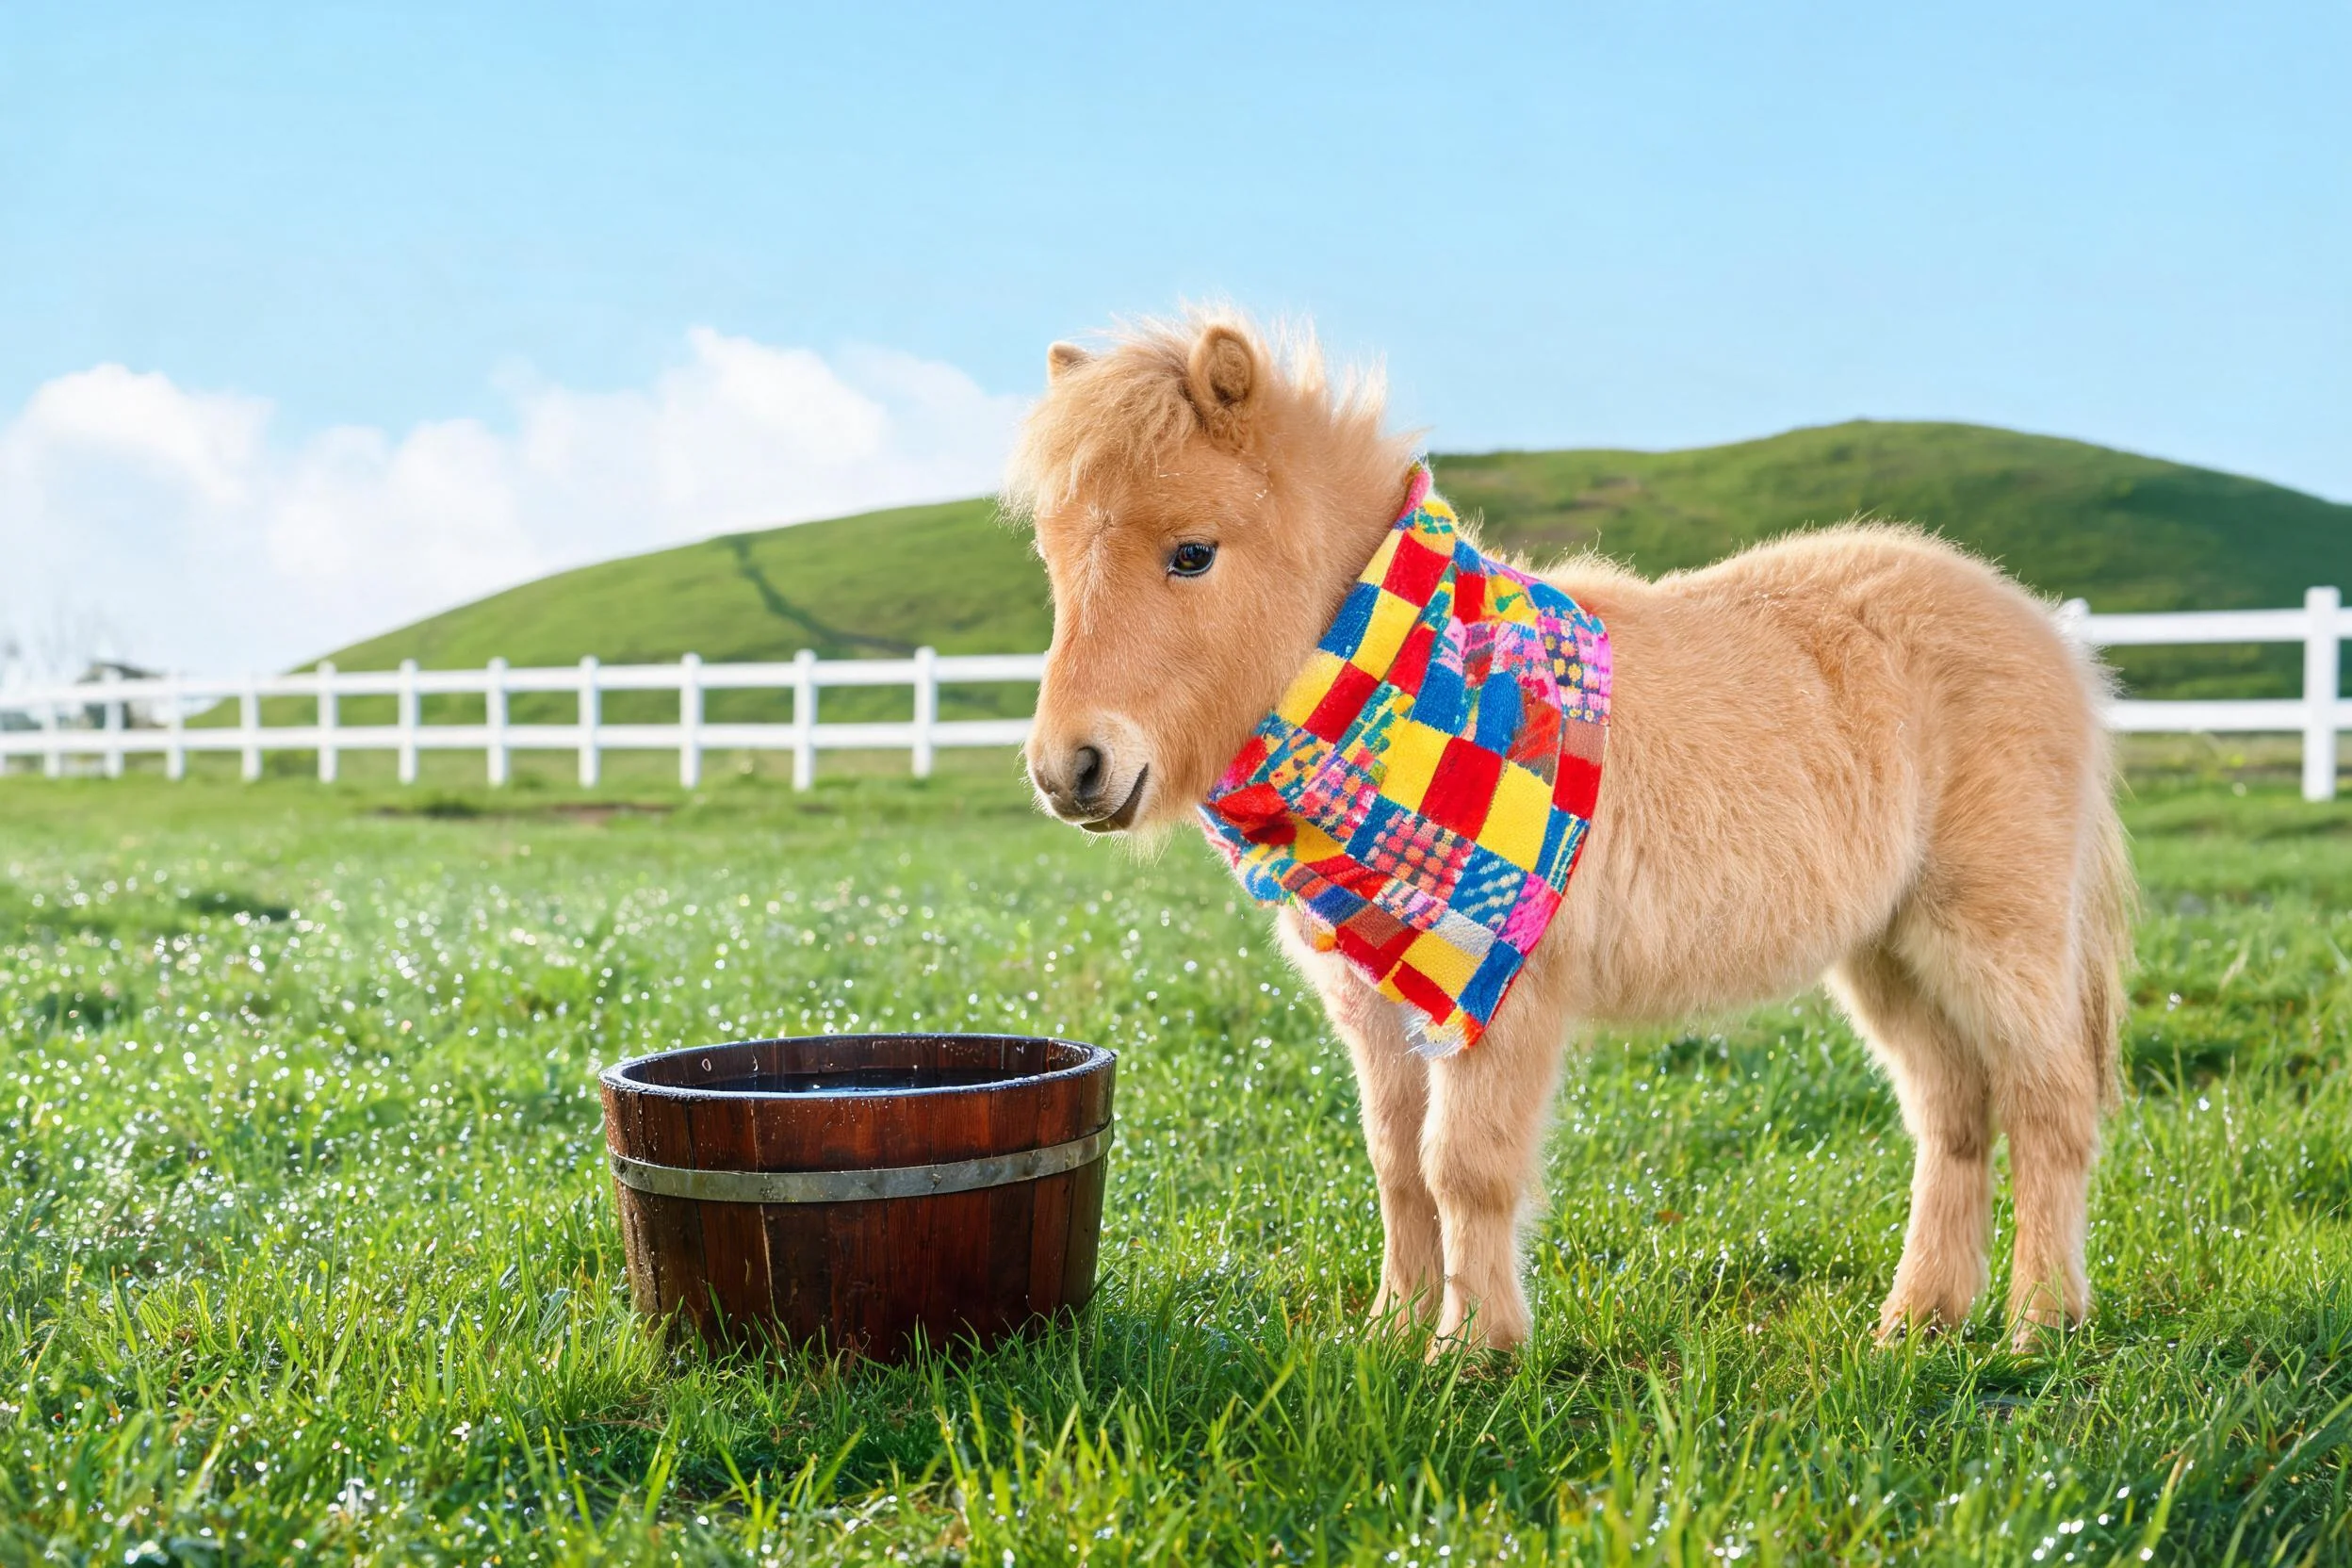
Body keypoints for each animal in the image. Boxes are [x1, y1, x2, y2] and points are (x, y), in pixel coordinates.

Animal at [1007, 312, 2131, 1355]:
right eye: (1053, 560)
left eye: (1192, 553)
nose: (1072, 770)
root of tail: (2053, 638)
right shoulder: (1378, 1008)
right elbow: (1396, 1163)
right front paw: (1393, 1333)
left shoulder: (1498, 1000)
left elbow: (1463, 1168)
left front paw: (1472, 1352)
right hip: (1891, 955)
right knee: (1953, 1114)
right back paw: (1920, 1320)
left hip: (1992, 939)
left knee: (2049, 1106)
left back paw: (2040, 1323)